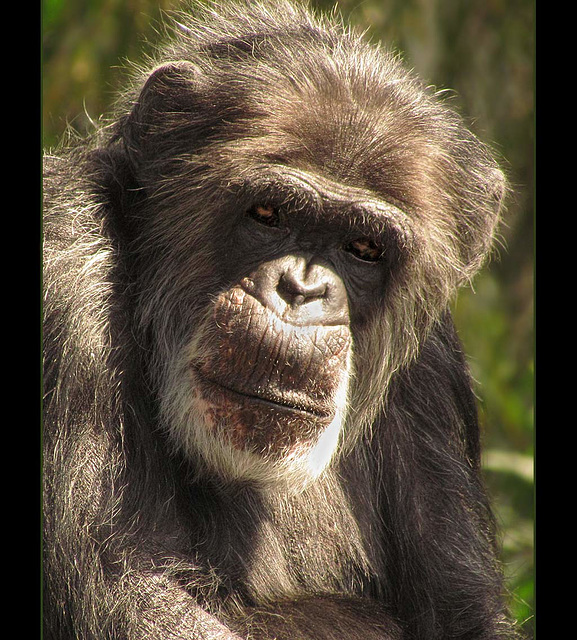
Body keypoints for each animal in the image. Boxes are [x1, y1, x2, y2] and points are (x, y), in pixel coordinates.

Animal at [42, 2, 516, 636]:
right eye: (269, 214)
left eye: (364, 248)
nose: (302, 288)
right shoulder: (65, 284)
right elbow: (134, 593)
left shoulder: (431, 365)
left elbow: (462, 612)